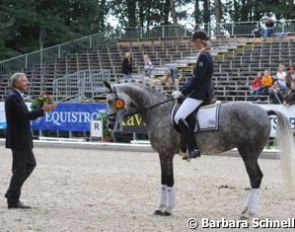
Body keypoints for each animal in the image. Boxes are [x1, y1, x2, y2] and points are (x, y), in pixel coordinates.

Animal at [104, 80, 295, 218]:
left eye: (110, 100)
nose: (109, 124)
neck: (159, 111)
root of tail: (264, 111)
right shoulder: (163, 154)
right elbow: (165, 180)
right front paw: (162, 208)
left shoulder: (166, 153)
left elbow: (168, 180)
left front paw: (166, 209)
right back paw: (247, 210)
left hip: (248, 153)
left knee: (256, 177)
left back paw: (249, 213)